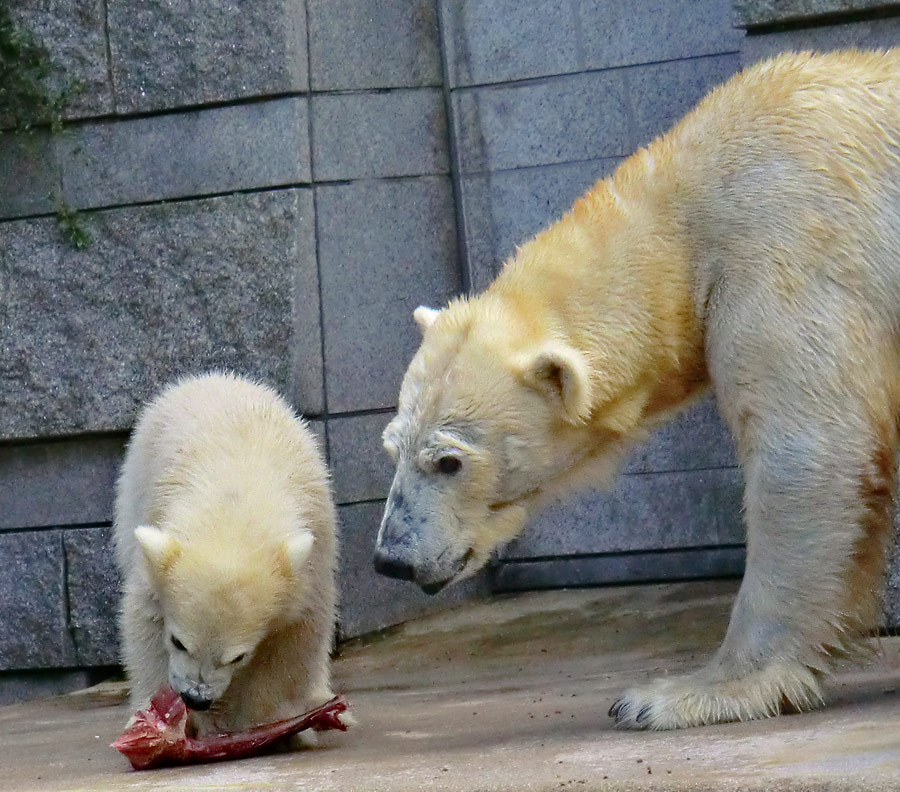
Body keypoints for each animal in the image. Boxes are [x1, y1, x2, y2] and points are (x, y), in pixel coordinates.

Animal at [376, 51, 900, 732]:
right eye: (392, 447)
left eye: (449, 461)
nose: (392, 558)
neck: (687, 209)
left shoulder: (794, 253)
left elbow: (810, 452)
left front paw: (678, 694)